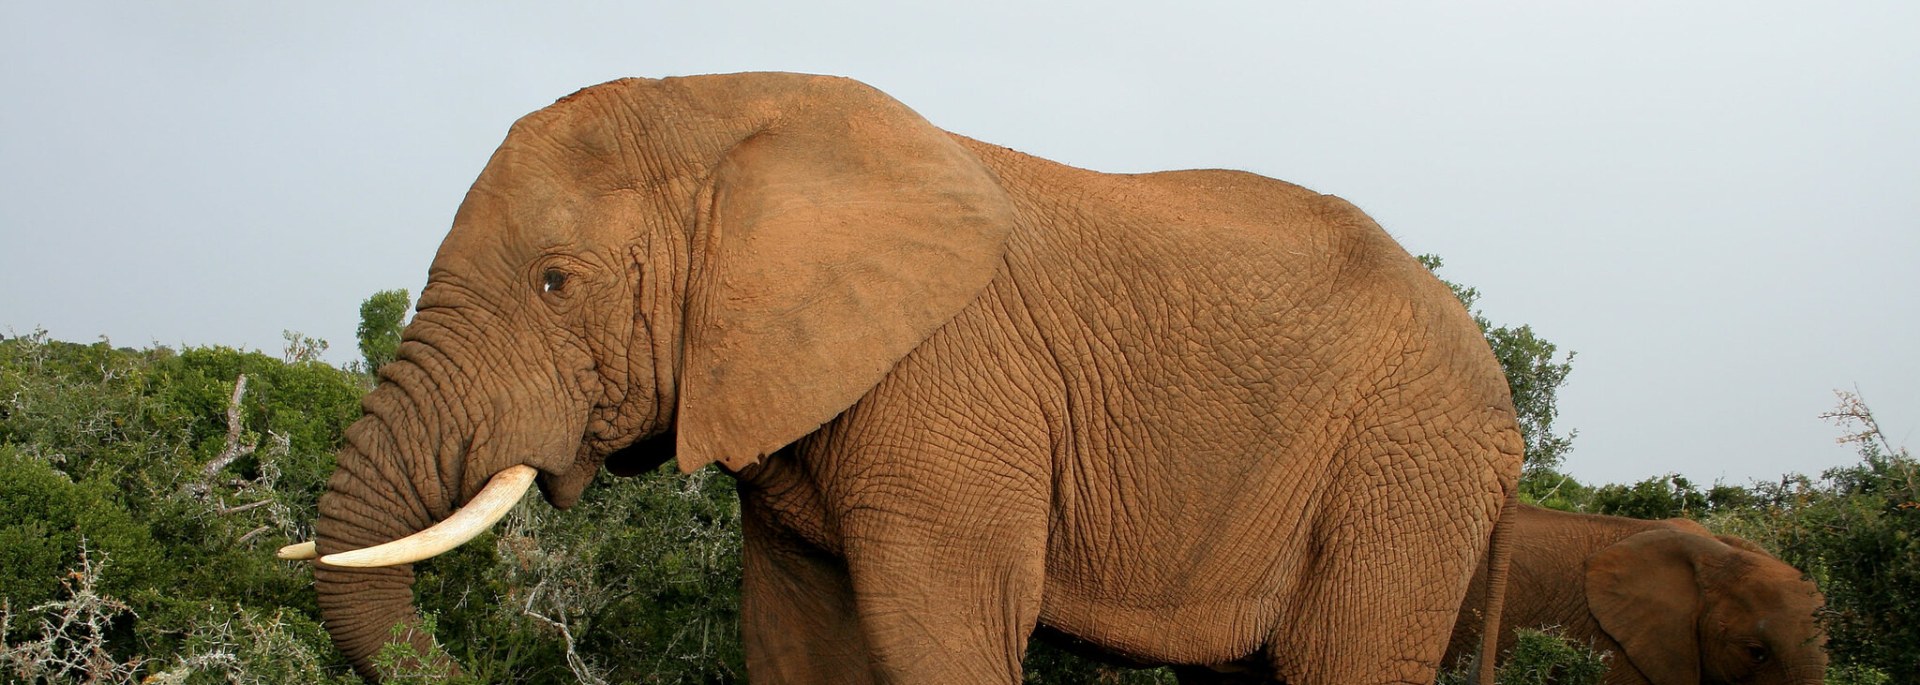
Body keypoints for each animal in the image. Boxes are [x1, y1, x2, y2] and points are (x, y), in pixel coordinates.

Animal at [283, 72, 1525, 684]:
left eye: (554, 282)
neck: (732, 117)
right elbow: (795, 645)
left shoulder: (950, 391)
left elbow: (943, 633)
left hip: (1406, 469)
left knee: (1341, 662)